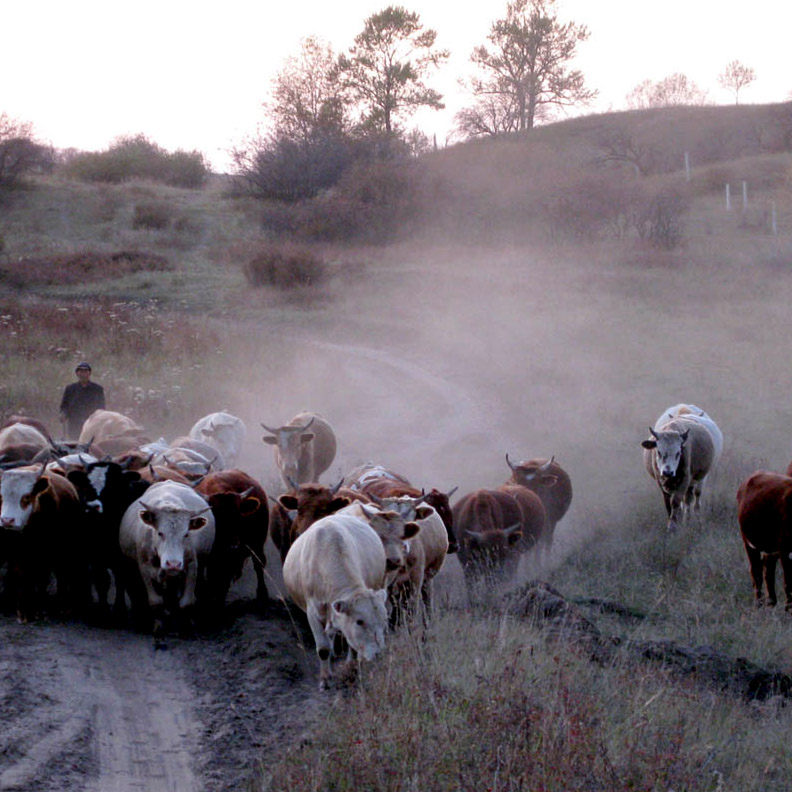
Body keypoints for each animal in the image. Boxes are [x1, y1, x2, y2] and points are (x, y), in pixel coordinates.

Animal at [0, 460, 86, 620]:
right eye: (1, 496)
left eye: (27, 496)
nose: (7, 520)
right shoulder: (16, 553)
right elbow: (20, 575)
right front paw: (22, 611)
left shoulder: (47, 553)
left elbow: (43, 578)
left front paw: (39, 609)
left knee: (62, 574)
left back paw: (63, 606)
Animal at [117, 476, 217, 636]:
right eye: (160, 533)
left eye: (186, 534)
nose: (173, 564)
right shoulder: (144, 568)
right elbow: (156, 601)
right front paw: (159, 627)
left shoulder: (192, 567)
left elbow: (186, 602)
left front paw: (186, 626)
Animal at [196, 470, 270, 612]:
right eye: (216, 517)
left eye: (237, 515)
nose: (232, 544)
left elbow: (223, 581)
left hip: (258, 545)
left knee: (259, 565)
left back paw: (262, 595)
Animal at [282, 512, 390, 688]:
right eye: (359, 621)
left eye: (384, 620)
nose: (379, 654)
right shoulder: (313, 613)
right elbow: (323, 648)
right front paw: (325, 679)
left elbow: (351, 643)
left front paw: (350, 666)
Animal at [740, 470, 792, 612]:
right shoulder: (784, 550)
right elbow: (788, 582)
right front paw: (789, 608)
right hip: (749, 544)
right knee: (756, 572)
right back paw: (759, 603)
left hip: (770, 549)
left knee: (768, 570)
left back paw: (771, 602)